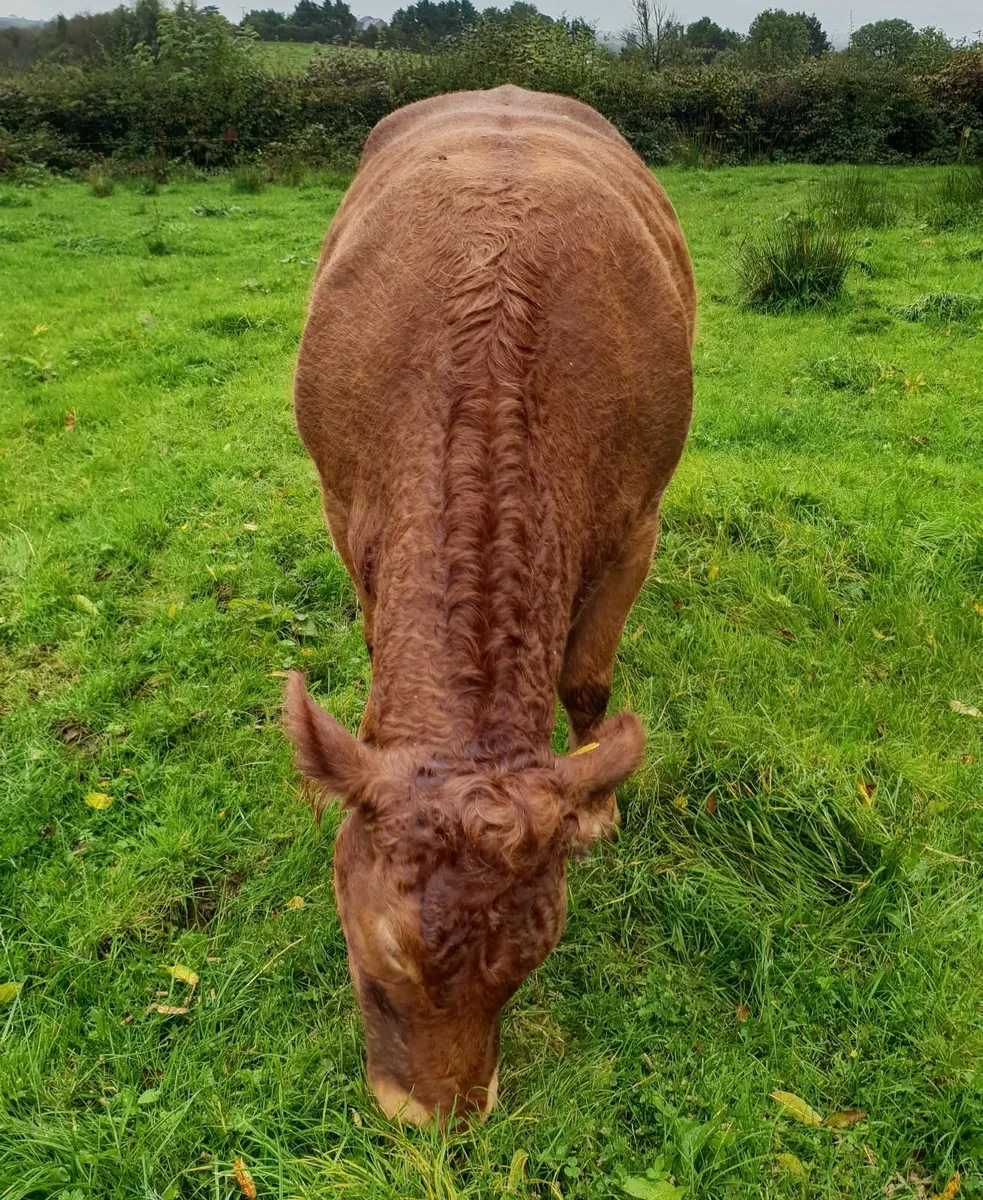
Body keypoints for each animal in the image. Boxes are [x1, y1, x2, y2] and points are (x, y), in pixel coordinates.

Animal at [285, 84, 695, 1125]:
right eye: (374, 963)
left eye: (528, 967)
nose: (439, 1122)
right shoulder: (345, 511)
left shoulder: (635, 526)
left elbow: (587, 680)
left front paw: (598, 803)